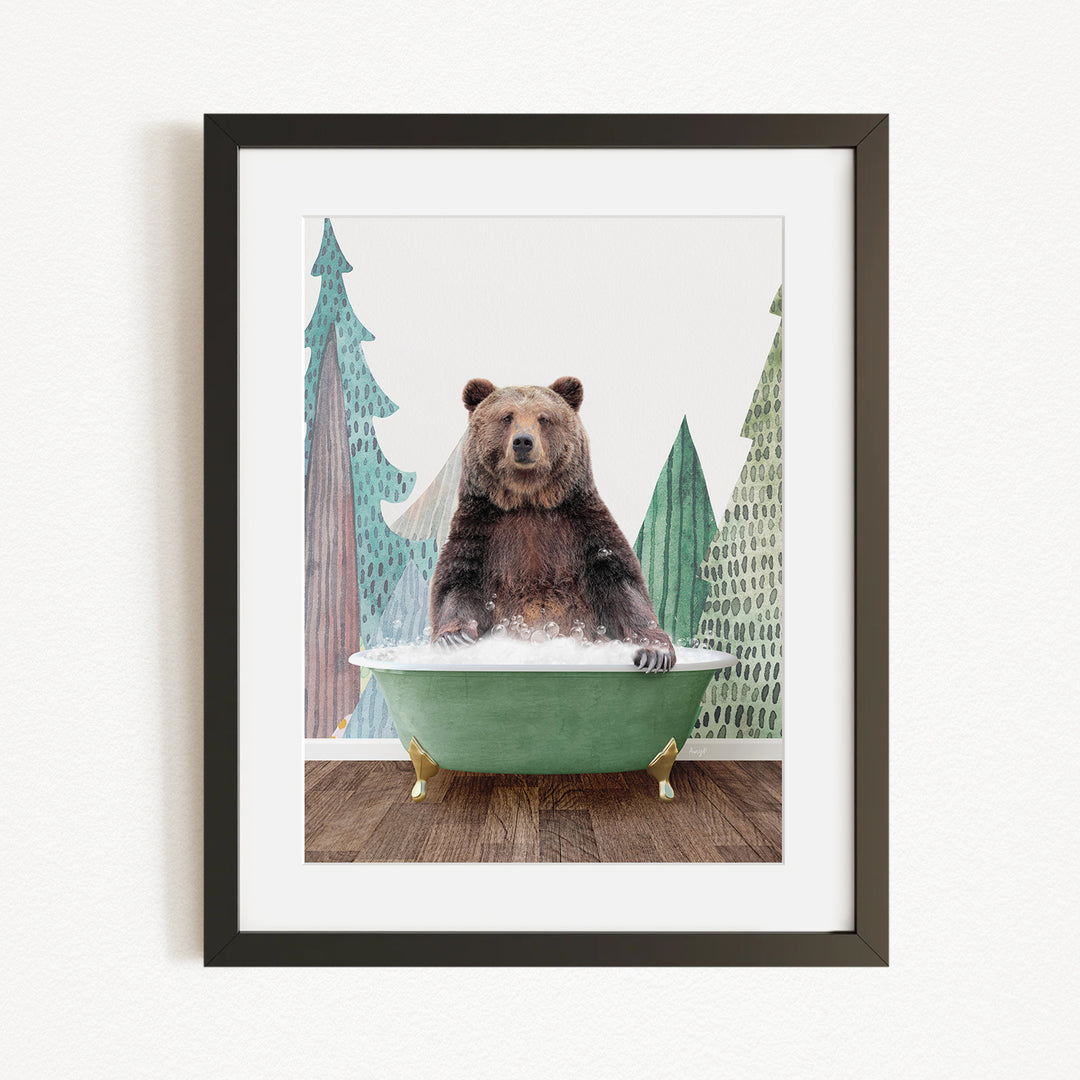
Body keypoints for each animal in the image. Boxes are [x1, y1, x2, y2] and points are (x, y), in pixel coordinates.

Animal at [428, 376, 676, 672]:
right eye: (507, 416)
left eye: (544, 418)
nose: (523, 441)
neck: (529, 500)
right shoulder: (481, 529)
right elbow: (457, 582)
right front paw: (454, 638)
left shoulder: (583, 526)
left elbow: (622, 584)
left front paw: (654, 652)